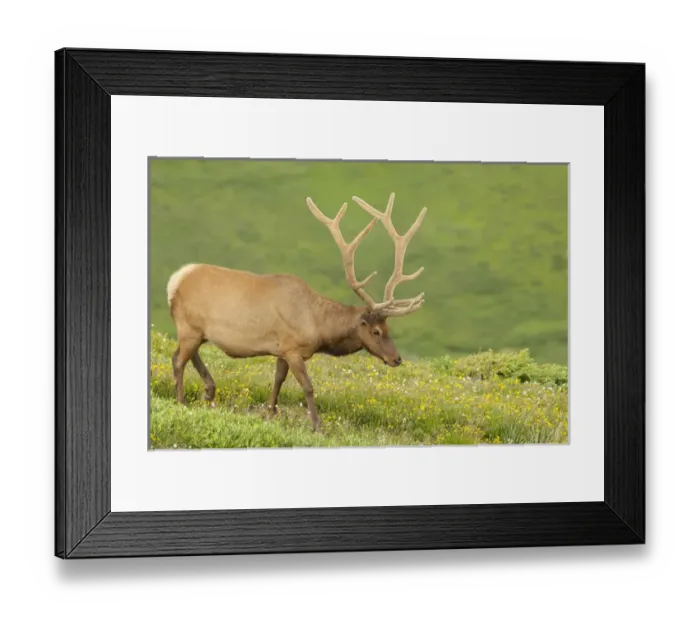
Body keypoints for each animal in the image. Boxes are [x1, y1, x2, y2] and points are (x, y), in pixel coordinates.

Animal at [166, 192, 427, 432]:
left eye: (388, 327)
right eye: (375, 331)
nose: (397, 358)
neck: (318, 327)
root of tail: (174, 281)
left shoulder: (282, 349)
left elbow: (278, 380)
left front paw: (270, 413)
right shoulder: (293, 349)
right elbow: (308, 386)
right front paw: (317, 426)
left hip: (196, 330)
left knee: (186, 354)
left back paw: (209, 391)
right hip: (189, 327)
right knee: (178, 359)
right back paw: (181, 400)